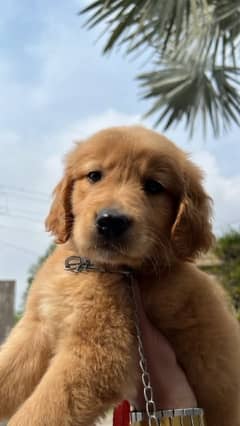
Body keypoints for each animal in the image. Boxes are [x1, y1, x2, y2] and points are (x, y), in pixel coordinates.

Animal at [0, 126, 239, 426]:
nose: (111, 221)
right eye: (94, 175)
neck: (92, 267)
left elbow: (40, 411)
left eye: (154, 186)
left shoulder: (98, 352)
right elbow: (7, 370)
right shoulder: (38, 327)